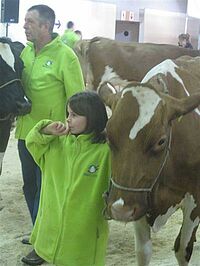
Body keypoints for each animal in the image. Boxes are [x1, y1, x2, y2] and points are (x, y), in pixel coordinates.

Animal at [99, 55, 200, 264]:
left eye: (161, 141)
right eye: (107, 135)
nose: (120, 210)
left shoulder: (196, 199)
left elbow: (183, 248)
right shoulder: (139, 200)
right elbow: (143, 252)